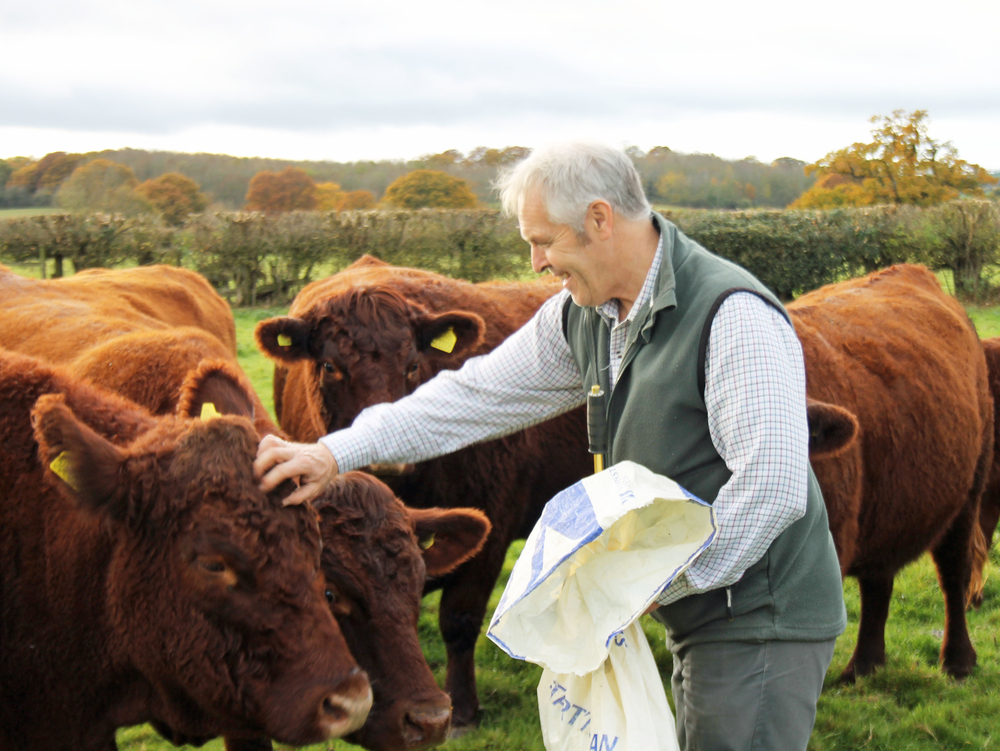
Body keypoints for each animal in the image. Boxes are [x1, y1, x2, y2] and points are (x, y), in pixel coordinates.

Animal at [254, 256, 592, 724]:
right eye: (329, 366)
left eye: (413, 365)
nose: (387, 461)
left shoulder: (490, 530)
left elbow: (459, 621)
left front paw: (463, 709)